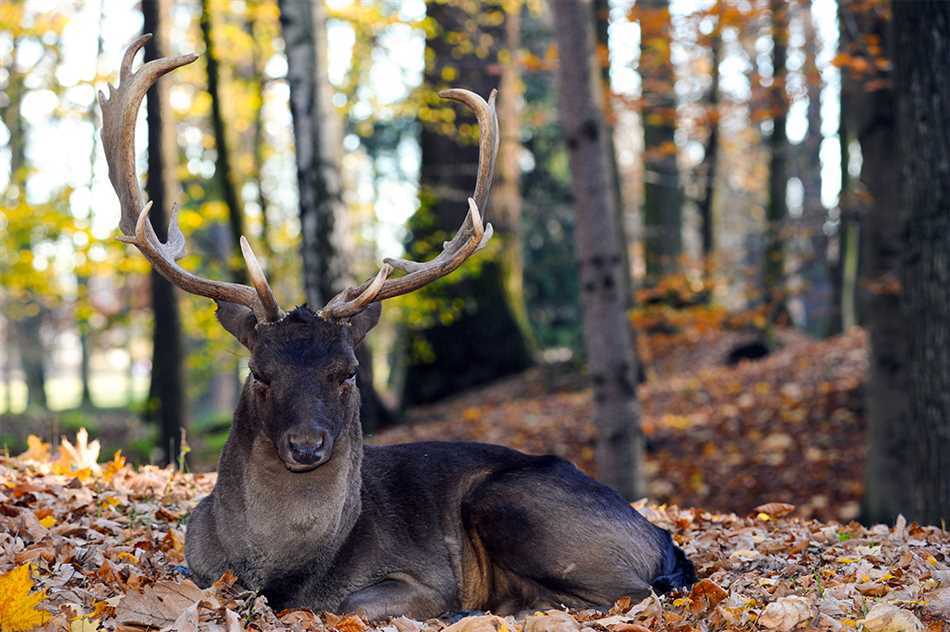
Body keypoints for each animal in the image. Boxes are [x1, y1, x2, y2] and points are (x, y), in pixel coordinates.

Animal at [100, 35, 696, 624]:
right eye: (259, 373)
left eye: (348, 372)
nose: (307, 445)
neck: (278, 572)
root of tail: (663, 541)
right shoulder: (196, 564)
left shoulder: (422, 576)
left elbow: (354, 602)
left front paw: (447, 609)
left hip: (518, 506)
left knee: (627, 593)